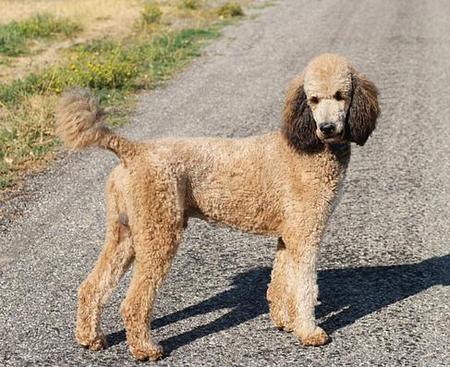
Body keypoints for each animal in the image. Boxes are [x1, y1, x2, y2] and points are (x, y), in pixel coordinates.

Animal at [56, 53, 380, 360]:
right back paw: (145, 349)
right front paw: (310, 333)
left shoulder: (289, 235)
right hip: (159, 232)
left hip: (125, 232)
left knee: (92, 286)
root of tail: (133, 150)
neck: (310, 147)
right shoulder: (306, 232)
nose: (327, 127)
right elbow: (304, 287)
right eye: (313, 99)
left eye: (340, 95)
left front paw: (284, 322)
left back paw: (90, 337)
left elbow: (280, 281)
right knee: (133, 302)